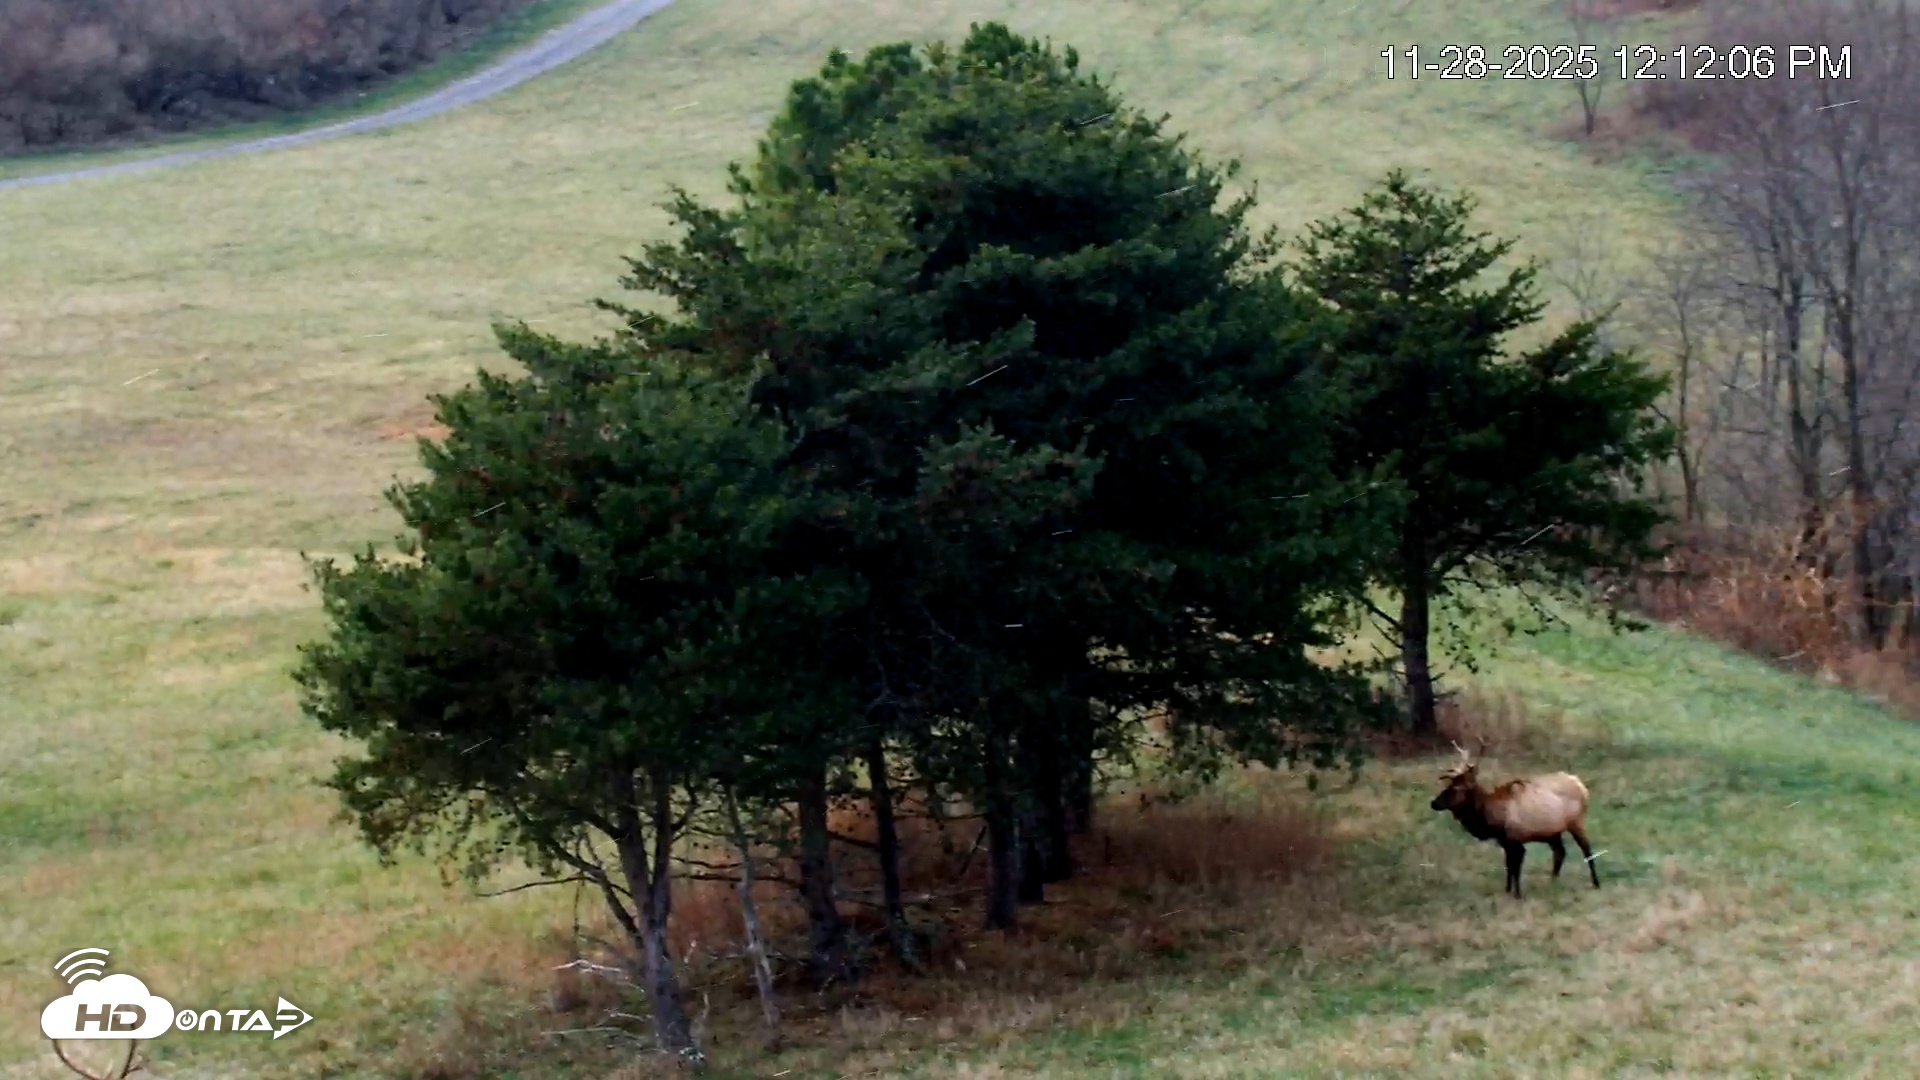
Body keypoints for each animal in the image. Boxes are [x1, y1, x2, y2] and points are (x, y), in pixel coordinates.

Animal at [1429, 742, 1600, 899]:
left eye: (1456, 788)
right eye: (1448, 785)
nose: (1433, 803)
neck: (1489, 817)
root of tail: (1581, 785)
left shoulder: (1515, 839)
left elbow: (1515, 868)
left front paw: (1518, 894)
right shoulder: (1504, 841)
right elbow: (1508, 866)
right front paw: (1507, 890)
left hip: (1576, 822)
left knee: (1586, 849)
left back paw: (1595, 883)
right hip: (1553, 832)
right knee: (1560, 852)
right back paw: (1552, 881)